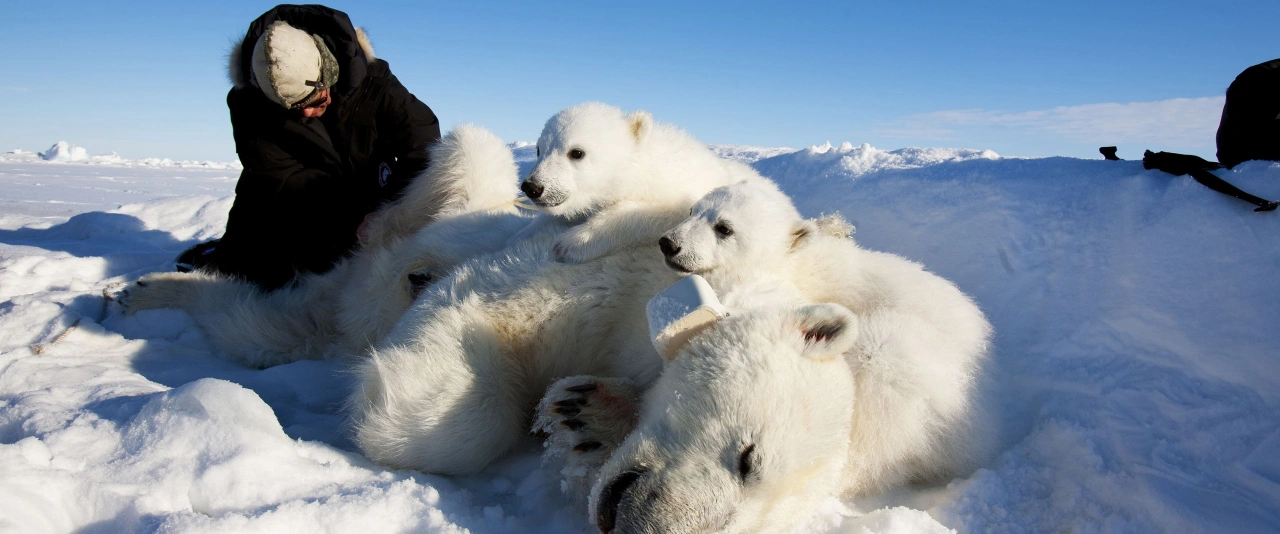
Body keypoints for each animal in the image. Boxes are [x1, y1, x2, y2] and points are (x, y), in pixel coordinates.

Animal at [516, 102, 770, 264]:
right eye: (539, 149)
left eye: (576, 152)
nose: (532, 187)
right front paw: (520, 235)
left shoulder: (676, 192)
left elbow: (645, 213)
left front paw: (570, 243)